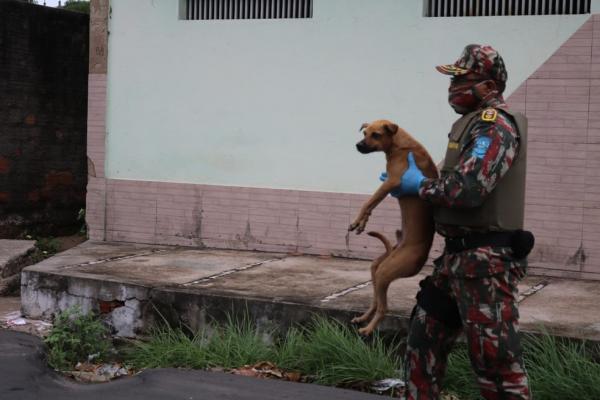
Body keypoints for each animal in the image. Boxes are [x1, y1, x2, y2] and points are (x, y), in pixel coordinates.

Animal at [350, 119, 438, 334]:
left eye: (376, 135)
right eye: (364, 132)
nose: (358, 145)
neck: (399, 145)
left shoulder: (391, 182)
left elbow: (369, 202)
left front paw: (357, 220)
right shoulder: (388, 183)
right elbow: (370, 205)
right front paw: (361, 223)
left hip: (385, 272)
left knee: (384, 307)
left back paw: (368, 329)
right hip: (378, 267)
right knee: (375, 301)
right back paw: (363, 318)